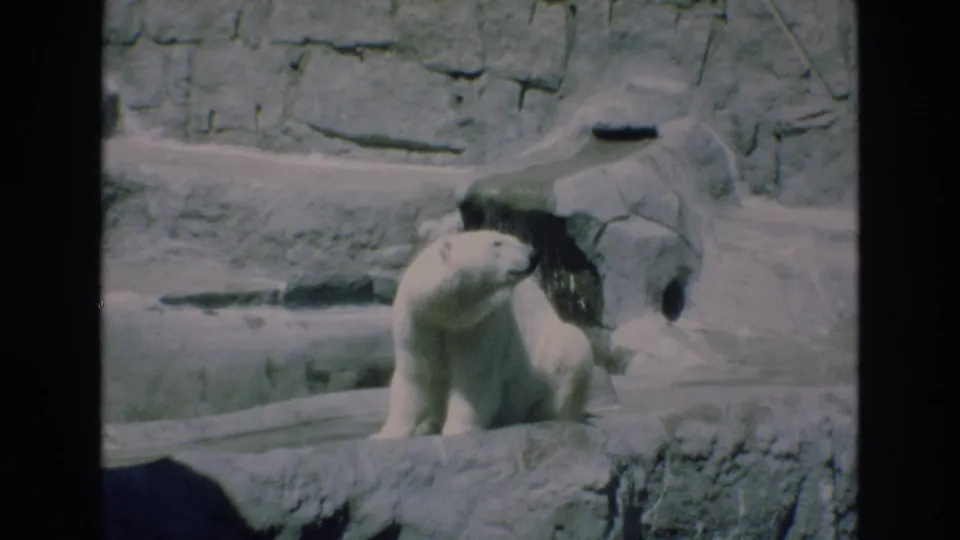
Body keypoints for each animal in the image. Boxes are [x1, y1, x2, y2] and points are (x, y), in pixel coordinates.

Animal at [372, 230, 594, 439]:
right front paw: (387, 433)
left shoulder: (482, 324)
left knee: (572, 353)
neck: (445, 313)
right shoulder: (418, 321)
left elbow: (474, 375)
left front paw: (458, 428)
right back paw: (427, 425)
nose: (533, 254)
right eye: (497, 243)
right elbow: (416, 374)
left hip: (550, 355)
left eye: (513, 238)